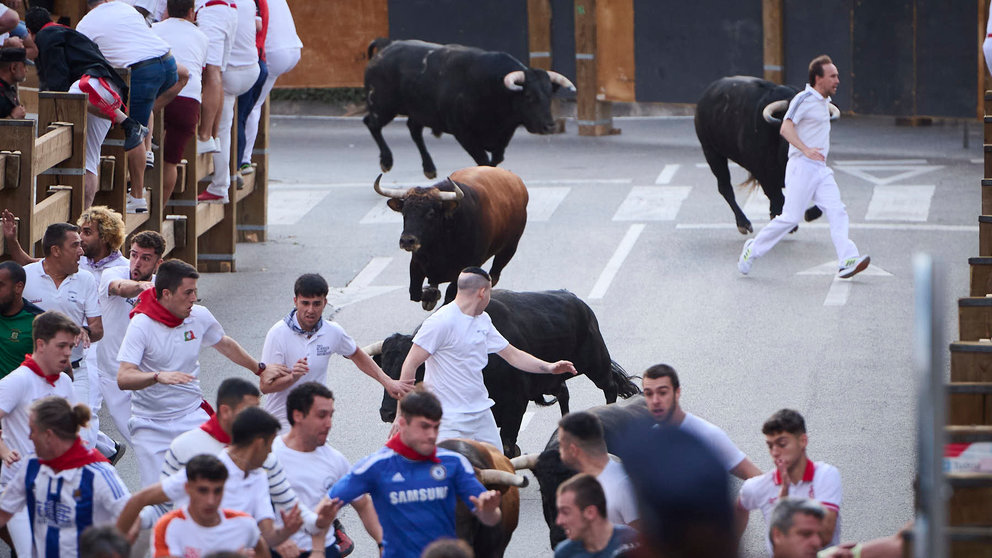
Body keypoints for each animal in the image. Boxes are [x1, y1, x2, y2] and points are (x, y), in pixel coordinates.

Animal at [364, 38, 572, 179]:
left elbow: (495, 160)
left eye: (549, 95)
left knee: (413, 129)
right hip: (383, 106)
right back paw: (386, 161)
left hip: (419, 112)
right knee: (371, 123)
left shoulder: (504, 134)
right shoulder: (464, 134)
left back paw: (429, 168)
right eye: (528, 96)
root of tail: (385, 49)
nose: (549, 126)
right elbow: (483, 161)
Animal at [372, 166, 528, 316]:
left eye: (431, 213)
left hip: (509, 249)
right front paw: (430, 295)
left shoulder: (466, 267)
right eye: (404, 212)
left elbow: (450, 296)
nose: (407, 240)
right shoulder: (416, 263)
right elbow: (415, 293)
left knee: (494, 275)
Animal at [692, 75, 840, 235]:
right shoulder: (764, 174)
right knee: (725, 187)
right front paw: (787, 223)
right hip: (711, 152)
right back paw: (743, 223)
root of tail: (706, 96)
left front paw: (805, 214)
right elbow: (778, 197)